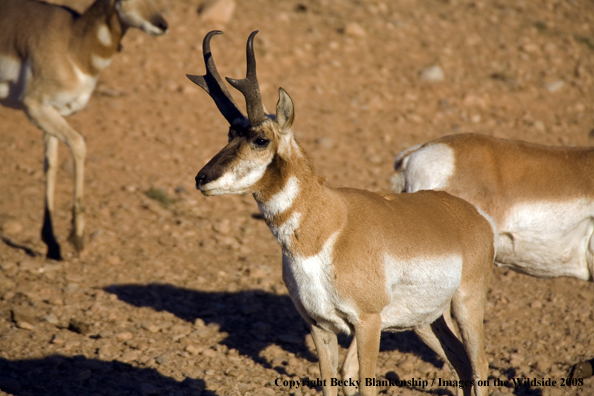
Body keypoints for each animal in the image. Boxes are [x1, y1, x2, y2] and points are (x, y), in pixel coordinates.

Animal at [0, 0, 166, 260]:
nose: (162, 24)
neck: (73, 41)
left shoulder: (52, 112)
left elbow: (51, 164)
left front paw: (52, 243)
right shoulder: (35, 107)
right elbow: (79, 145)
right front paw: (77, 237)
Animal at [187, 30, 492, 396]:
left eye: (260, 139)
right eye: (230, 133)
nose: (201, 178)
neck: (329, 227)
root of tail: (470, 215)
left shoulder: (368, 323)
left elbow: (365, 385)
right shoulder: (319, 325)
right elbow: (328, 383)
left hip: (466, 304)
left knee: (480, 365)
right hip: (426, 321)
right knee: (461, 365)